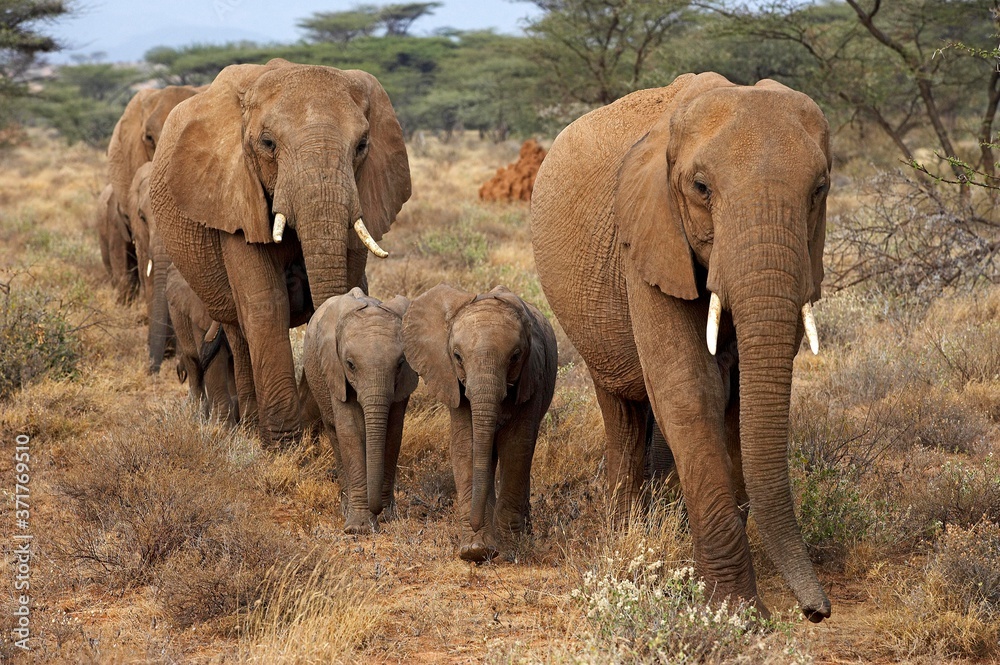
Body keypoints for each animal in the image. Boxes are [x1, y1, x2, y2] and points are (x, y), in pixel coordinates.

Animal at [301, 287, 418, 534]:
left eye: (400, 364)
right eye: (350, 364)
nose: (378, 510)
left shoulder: (404, 382)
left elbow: (393, 431)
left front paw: (388, 518)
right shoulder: (335, 370)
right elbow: (351, 429)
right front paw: (359, 528)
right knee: (335, 433)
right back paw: (346, 508)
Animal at [402, 284, 557, 562]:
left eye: (515, 356)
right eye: (457, 356)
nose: (474, 525)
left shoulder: (532, 377)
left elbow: (517, 448)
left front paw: (508, 550)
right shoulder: (453, 382)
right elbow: (467, 446)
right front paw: (475, 550)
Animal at [530, 72, 831, 621]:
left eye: (819, 189)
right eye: (701, 188)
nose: (817, 611)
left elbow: (738, 398)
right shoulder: (648, 236)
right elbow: (688, 389)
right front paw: (735, 611)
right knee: (623, 408)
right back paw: (623, 530)